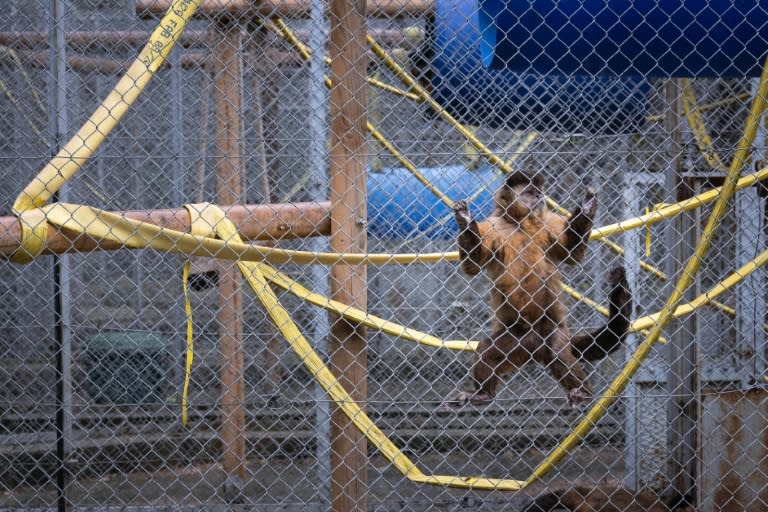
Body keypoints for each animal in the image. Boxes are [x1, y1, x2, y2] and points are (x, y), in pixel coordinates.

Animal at [448, 172, 632, 408]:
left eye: (538, 192)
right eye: (529, 192)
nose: (538, 196)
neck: (521, 224)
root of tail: (534, 348)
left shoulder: (548, 221)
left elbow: (572, 254)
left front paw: (586, 207)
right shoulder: (494, 225)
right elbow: (472, 265)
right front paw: (465, 220)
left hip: (552, 330)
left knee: (556, 350)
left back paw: (582, 391)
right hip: (517, 338)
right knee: (487, 349)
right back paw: (483, 393)